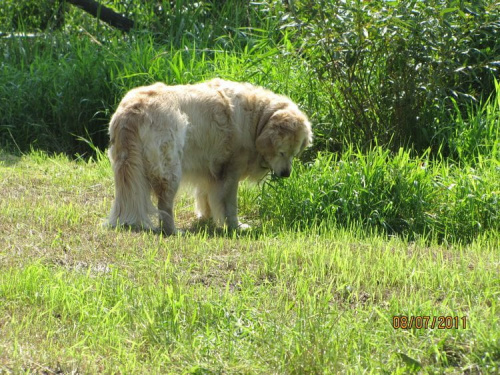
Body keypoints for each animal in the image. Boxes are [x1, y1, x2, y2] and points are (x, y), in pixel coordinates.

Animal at [106, 78, 312, 234]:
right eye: (282, 152)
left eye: (294, 153)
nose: (286, 174)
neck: (258, 120)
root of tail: (132, 111)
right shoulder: (231, 171)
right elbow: (230, 203)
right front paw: (236, 226)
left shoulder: (209, 170)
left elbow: (205, 195)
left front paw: (206, 217)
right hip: (170, 169)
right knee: (165, 205)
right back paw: (173, 231)